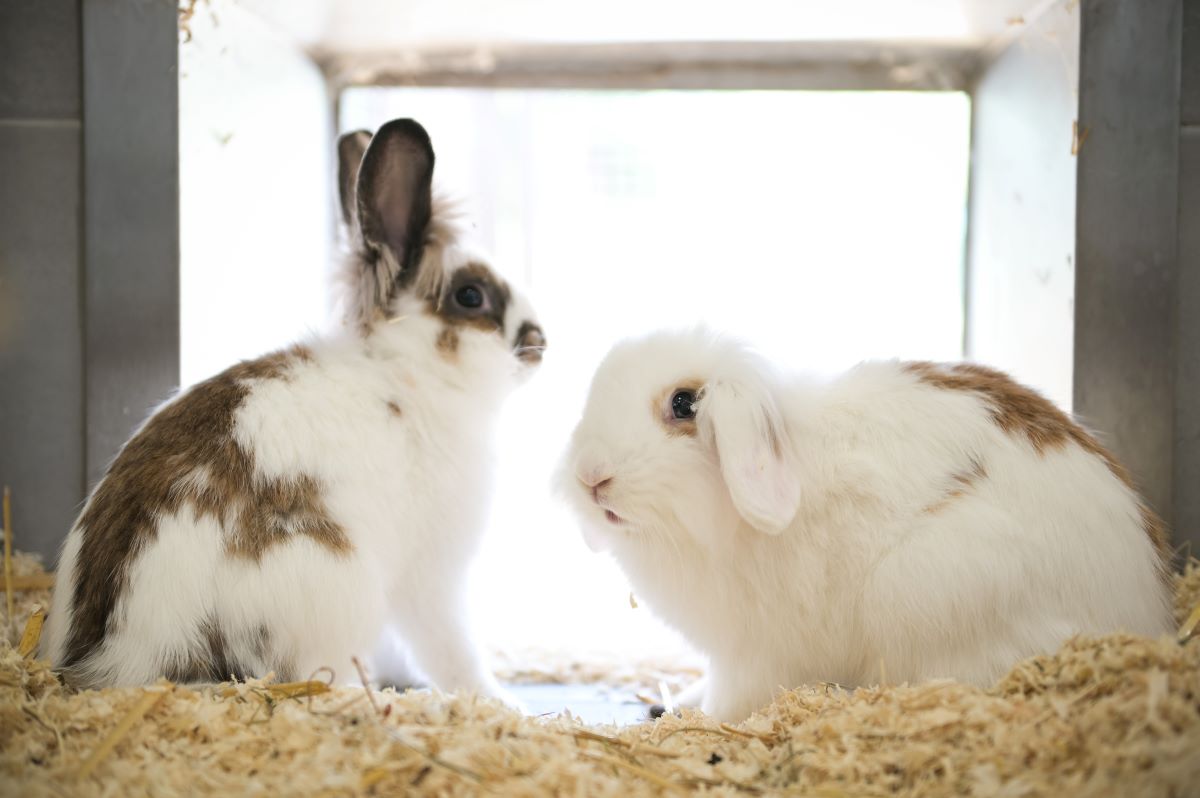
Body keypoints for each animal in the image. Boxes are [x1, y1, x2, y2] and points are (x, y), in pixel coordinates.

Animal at [38, 117, 544, 696]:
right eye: (470, 296)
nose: (540, 341)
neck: (404, 370)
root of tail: (118, 659)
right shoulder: (430, 575)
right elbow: (449, 648)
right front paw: (496, 699)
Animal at [561, 326, 1171, 720]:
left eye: (684, 404)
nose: (590, 477)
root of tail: (1144, 609)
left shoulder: (755, 656)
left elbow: (734, 700)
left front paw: (703, 721)